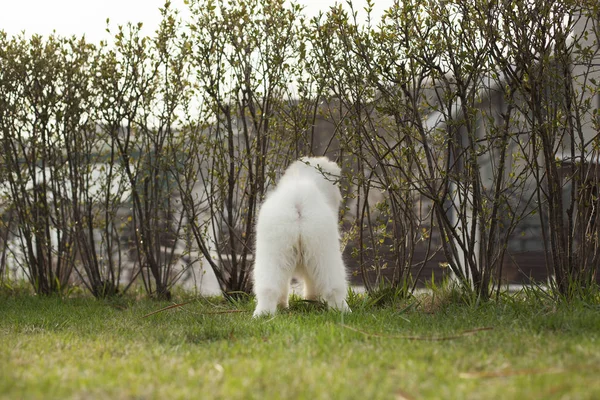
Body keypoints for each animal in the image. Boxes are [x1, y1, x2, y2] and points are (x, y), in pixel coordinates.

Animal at [251, 156, 350, 316]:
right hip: (323, 250)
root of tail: (298, 200)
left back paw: (263, 314)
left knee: (269, 288)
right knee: (333, 287)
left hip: (276, 251)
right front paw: (312, 301)